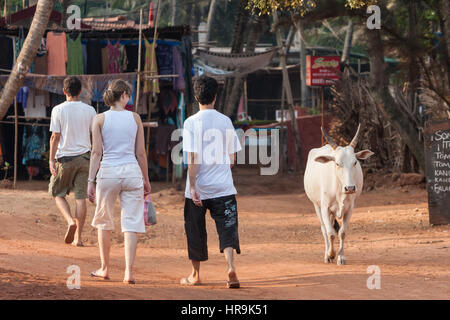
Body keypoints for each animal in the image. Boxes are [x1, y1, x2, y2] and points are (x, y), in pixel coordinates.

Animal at [304, 125, 374, 264]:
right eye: (337, 163)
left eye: (355, 162)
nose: (350, 188)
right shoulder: (324, 208)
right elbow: (330, 232)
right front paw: (330, 254)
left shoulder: (349, 209)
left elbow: (342, 232)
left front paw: (341, 257)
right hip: (316, 205)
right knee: (324, 229)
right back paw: (327, 254)